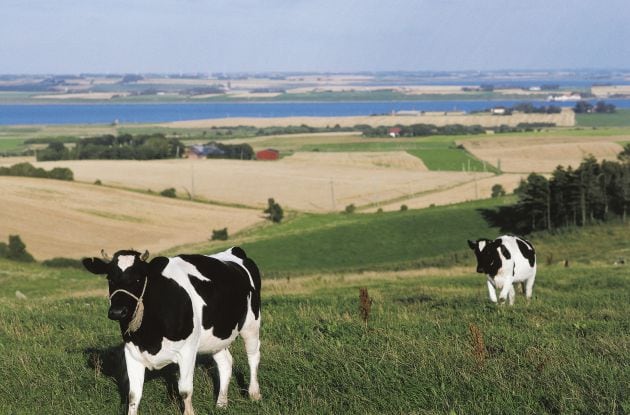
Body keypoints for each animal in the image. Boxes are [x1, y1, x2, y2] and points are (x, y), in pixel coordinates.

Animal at [82, 249, 262, 414]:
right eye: (110, 278)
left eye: (138, 278)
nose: (117, 312)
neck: (150, 337)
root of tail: (234, 251)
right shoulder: (132, 352)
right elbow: (133, 395)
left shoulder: (187, 351)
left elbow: (185, 390)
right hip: (216, 337)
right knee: (225, 362)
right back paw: (221, 404)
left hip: (251, 324)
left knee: (253, 357)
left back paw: (254, 394)